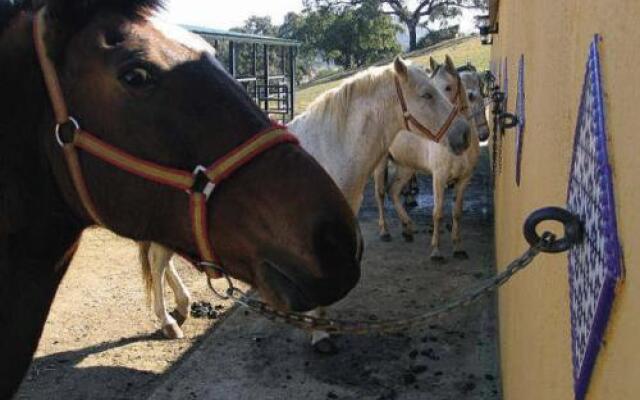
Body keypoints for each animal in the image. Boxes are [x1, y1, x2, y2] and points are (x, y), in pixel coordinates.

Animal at [140, 57, 470, 346]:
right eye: (427, 94)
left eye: (445, 88)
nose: (464, 135)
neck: (330, 151)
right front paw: (319, 334)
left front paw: (323, 326)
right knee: (157, 262)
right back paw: (168, 323)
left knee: (162, 262)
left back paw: (182, 306)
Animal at [372, 56, 488, 260]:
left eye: (449, 87)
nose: (484, 135)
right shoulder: (439, 177)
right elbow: (438, 213)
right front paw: (436, 251)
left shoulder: (464, 179)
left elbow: (457, 213)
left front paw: (458, 248)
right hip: (382, 163)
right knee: (380, 193)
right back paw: (384, 231)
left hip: (406, 166)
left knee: (393, 191)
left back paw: (407, 227)